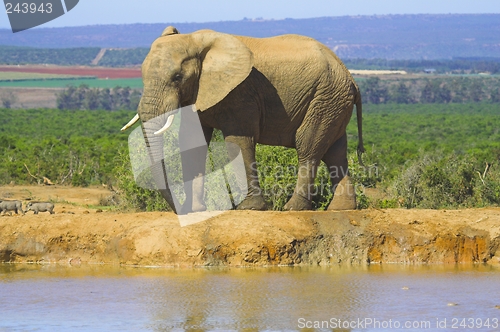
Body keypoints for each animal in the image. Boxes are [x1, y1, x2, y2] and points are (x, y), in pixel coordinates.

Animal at [121, 26, 364, 213]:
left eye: (177, 77)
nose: (180, 209)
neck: (196, 40)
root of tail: (352, 80)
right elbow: (192, 142)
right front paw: (195, 210)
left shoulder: (240, 92)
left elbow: (238, 140)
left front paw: (250, 208)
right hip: (333, 103)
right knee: (335, 152)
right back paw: (341, 208)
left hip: (325, 98)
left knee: (308, 148)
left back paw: (293, 208)